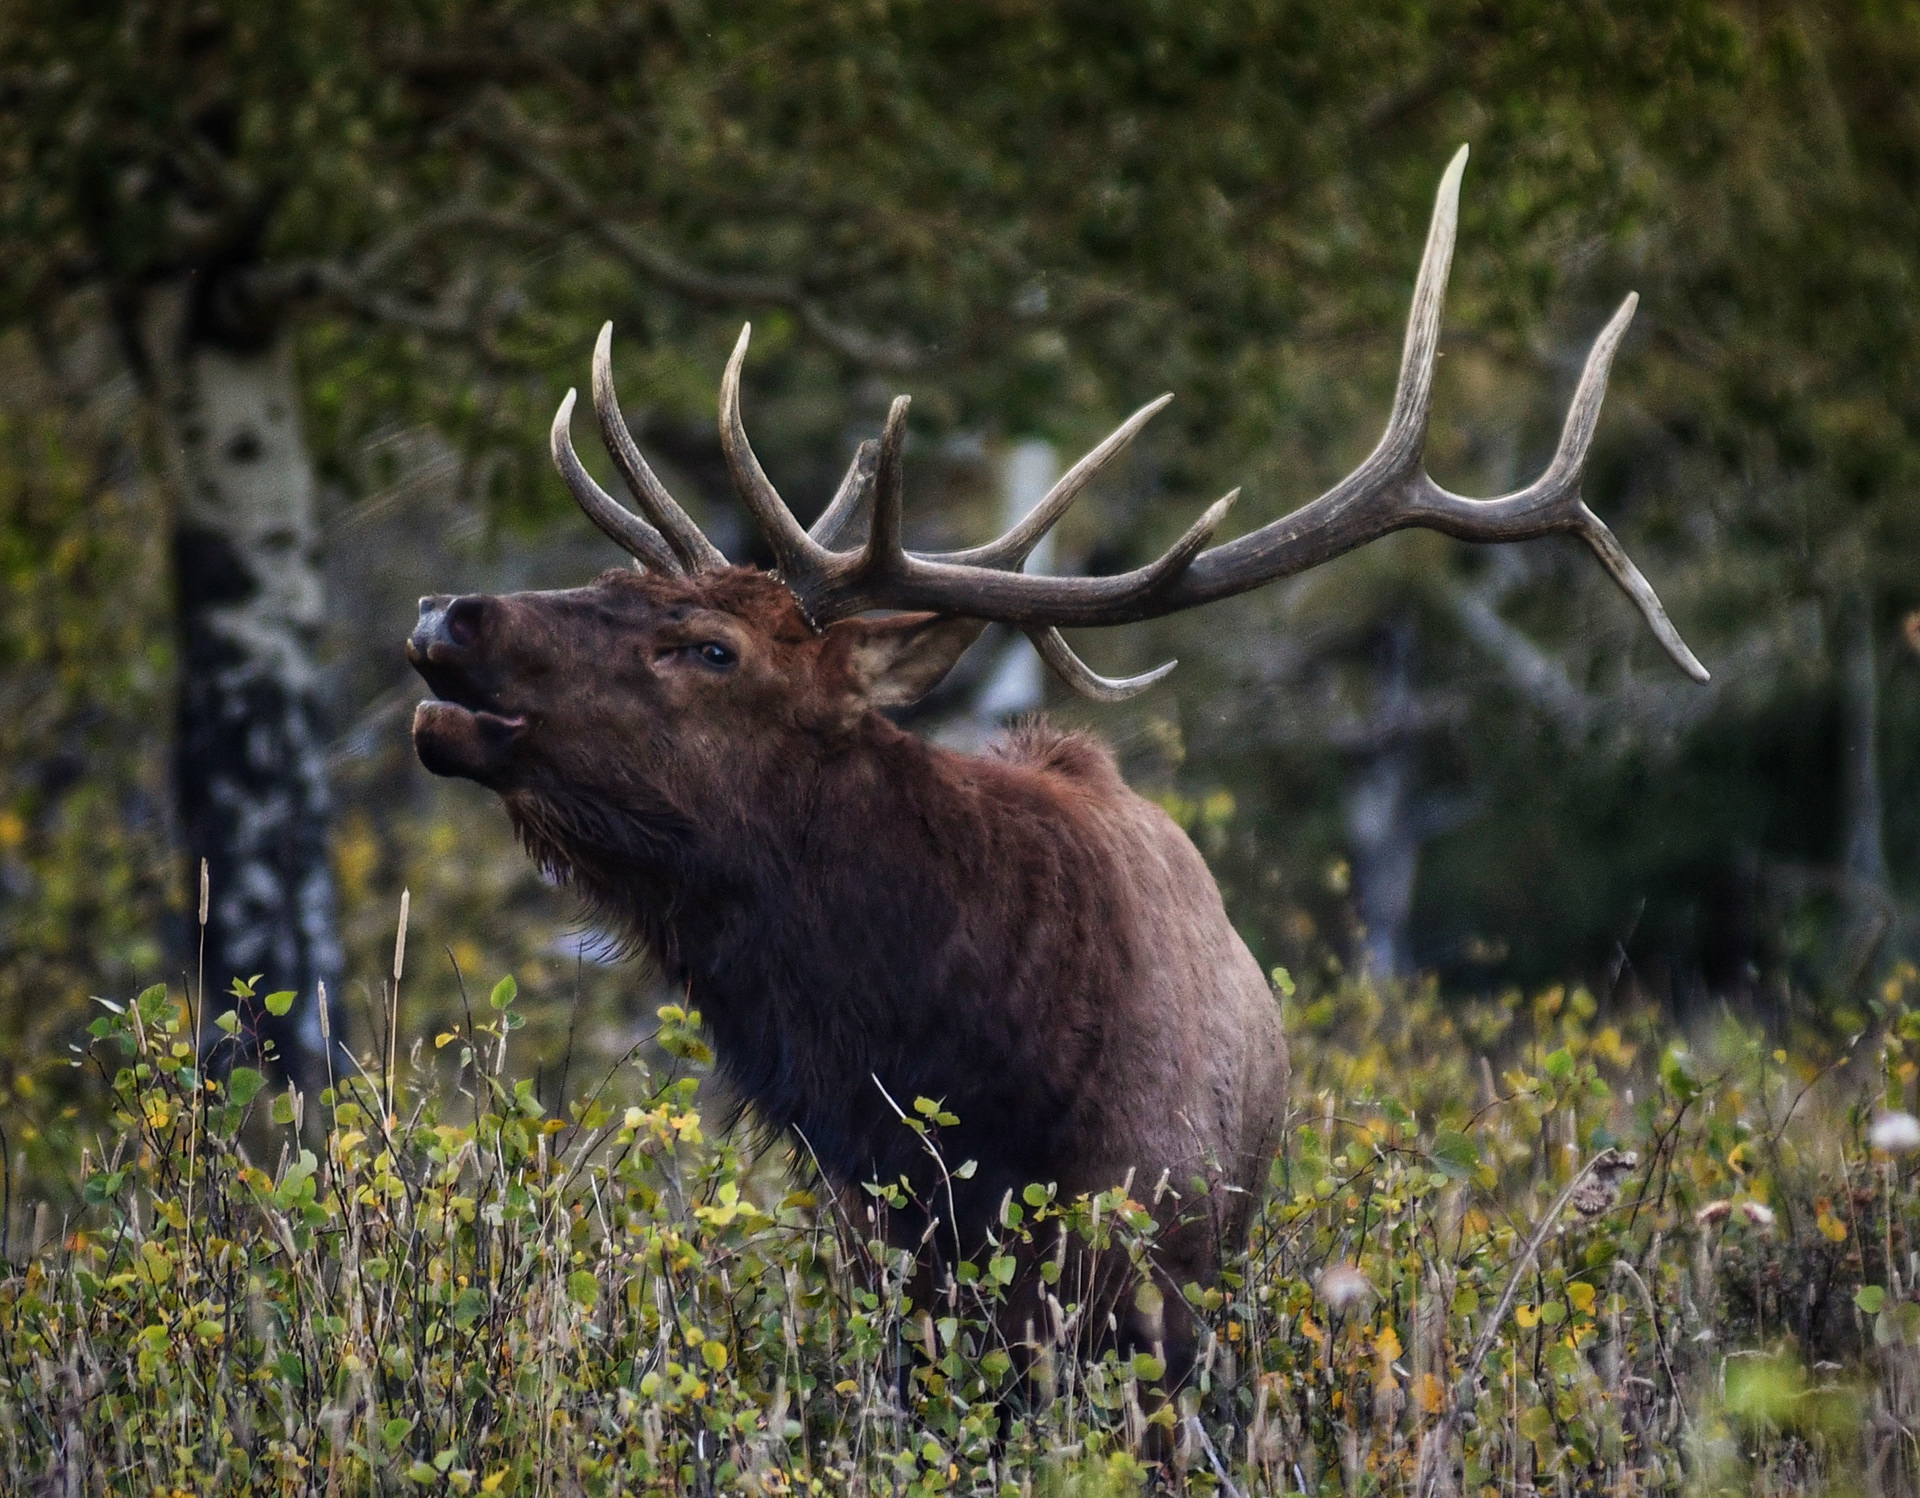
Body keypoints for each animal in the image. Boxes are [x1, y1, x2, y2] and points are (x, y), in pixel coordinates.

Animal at [407, 149, 1704, 1383]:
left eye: (712, 646)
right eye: (612, 580)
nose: (445, 612)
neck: (968, 1086)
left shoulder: (1145, 1281)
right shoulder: (891, 1276)